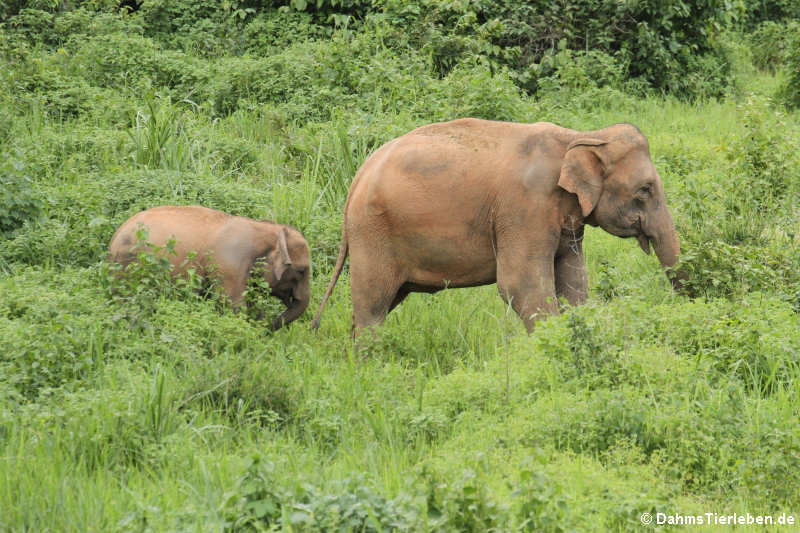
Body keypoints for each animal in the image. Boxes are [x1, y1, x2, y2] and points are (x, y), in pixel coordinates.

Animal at [111, 204, 310, 328]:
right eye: (301, 271)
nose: (268, 329)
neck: (267, 231)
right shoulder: (230, 265)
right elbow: (233, 304)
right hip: (128, 264)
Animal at [310, 118, 680, 332]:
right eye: (645, 189)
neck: (582, 136)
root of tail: (357, 178)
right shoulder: (524, 208)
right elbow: (521, 284)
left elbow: (574, 280)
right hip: (372, 233)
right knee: (372, 307)